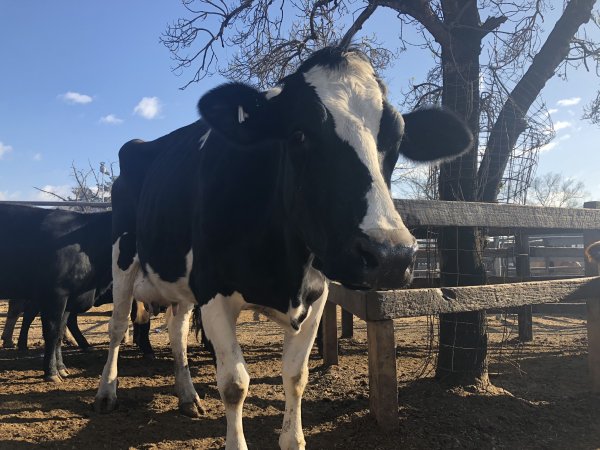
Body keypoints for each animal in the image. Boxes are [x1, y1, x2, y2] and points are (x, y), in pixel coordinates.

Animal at [0, 206, 112, 382]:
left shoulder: (70, 299)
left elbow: (60, 332)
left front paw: (62, 368)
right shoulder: (55, 295)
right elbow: (51, 333)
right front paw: (51, 372)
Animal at [94, 47, 472, 448]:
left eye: (397, 141)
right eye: (299, 134)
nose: (391, 256)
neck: (284, 267)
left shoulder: (317, 295)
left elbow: (295, 376)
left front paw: (293, 436)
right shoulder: (213, 289)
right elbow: (234, 384)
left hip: (178, 277)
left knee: (176, 330)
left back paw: (188, 396)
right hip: (123, 258)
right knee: (118, 326)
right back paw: (106, 393)